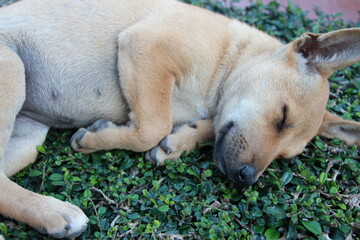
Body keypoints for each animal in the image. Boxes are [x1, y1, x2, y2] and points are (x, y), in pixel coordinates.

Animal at [0, 0, 358, 237]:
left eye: (285, 156)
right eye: (282, 117)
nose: (245, 178)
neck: (232, 53)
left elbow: (205, 126)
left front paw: (181, 140)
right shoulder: (146, 47)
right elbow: (152, 124)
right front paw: (97, 138)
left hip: (28, 137)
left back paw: (51, 215)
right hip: (13, 73)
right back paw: (56, 211)